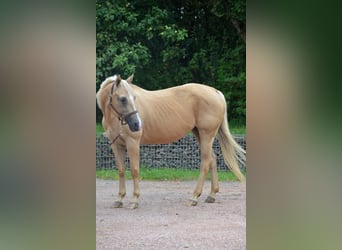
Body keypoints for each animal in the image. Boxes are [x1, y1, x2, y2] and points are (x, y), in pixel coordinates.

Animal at [96, 74, 246, 209]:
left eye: (134, 98)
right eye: (123, 99)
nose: (137, 124)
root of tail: (215, 92)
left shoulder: (132, 143)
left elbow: (134, 170)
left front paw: (134, 200)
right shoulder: (116, 145)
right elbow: (121, 171)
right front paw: (119, 199)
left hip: (207, 135)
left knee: (205, 163)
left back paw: (194, 197)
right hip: (199, 133)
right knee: (212, 159)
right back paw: (211, 195)